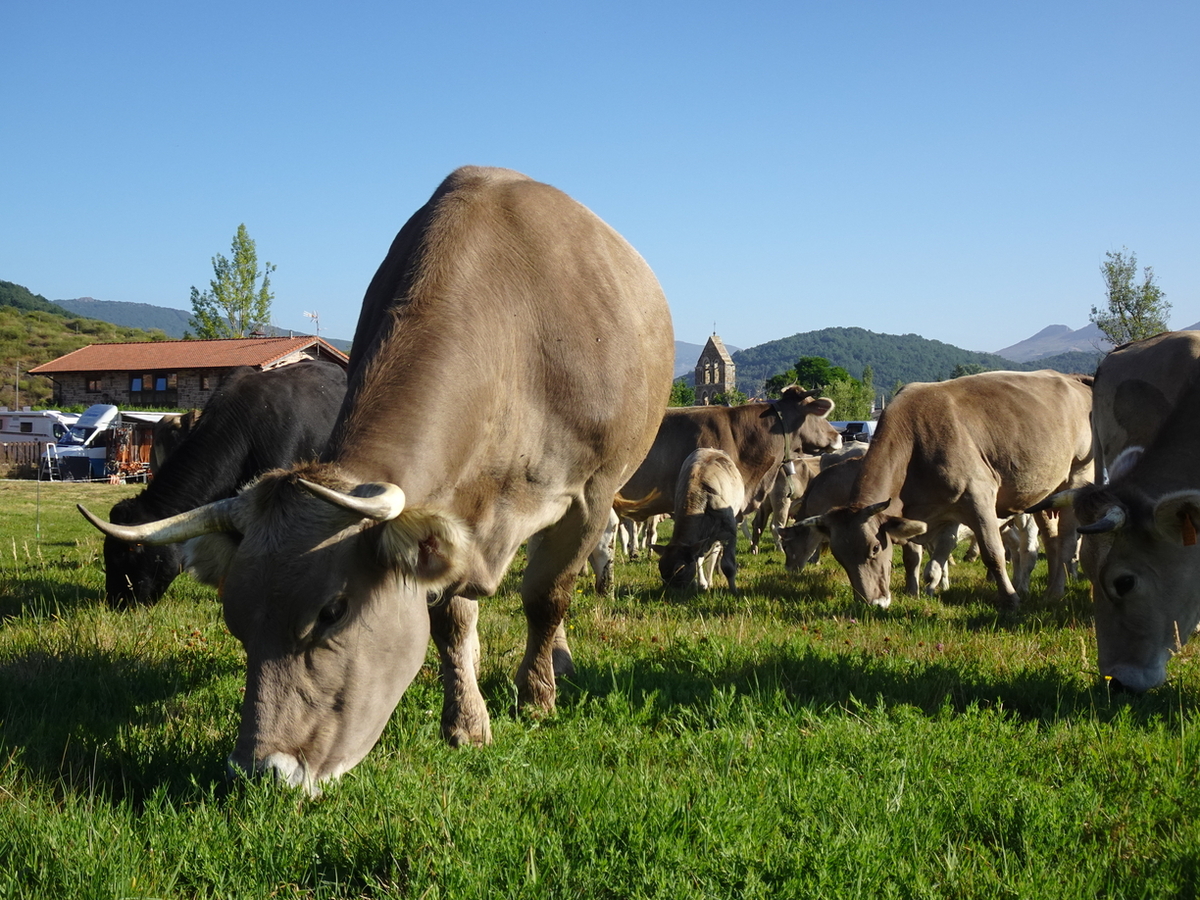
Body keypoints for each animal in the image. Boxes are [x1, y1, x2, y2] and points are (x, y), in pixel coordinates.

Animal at [652, 448, 744, 592]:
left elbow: (728, 565)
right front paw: (701, 584)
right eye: (661, 568)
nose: (671, 591)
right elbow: (698, 559)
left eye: (680, 569)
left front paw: (734, 590)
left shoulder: (729, 531)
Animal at [801, 369, 1094, 609]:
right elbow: (924, 559)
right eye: (839, 556)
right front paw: (920, 590)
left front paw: (1010, 599)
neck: (914, 440)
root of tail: (1072, 379)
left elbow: (993, 553)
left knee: (1066, 541)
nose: (873, 602)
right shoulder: (930, 513)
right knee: (1051, 540)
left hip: (1078, 474)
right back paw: (1052, 592)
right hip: (1045, 494)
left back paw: (1054, 589)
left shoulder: (978, 497)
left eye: (874, 548)